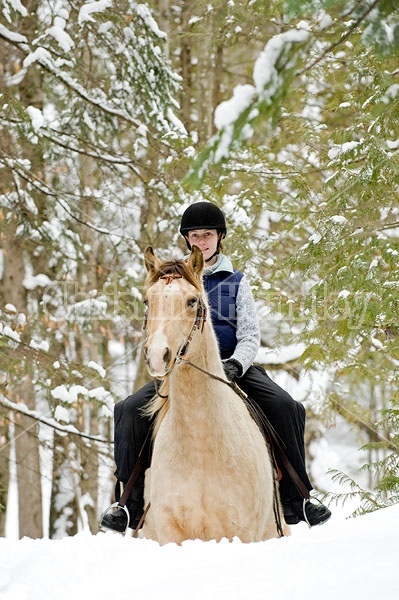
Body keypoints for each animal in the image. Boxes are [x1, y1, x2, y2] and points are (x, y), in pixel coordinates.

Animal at [141, 244, 288, 544]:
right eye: (148, 301)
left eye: (192, 301)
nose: (158, 356)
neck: (201, 447)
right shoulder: (170, 533)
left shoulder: (241, 533)